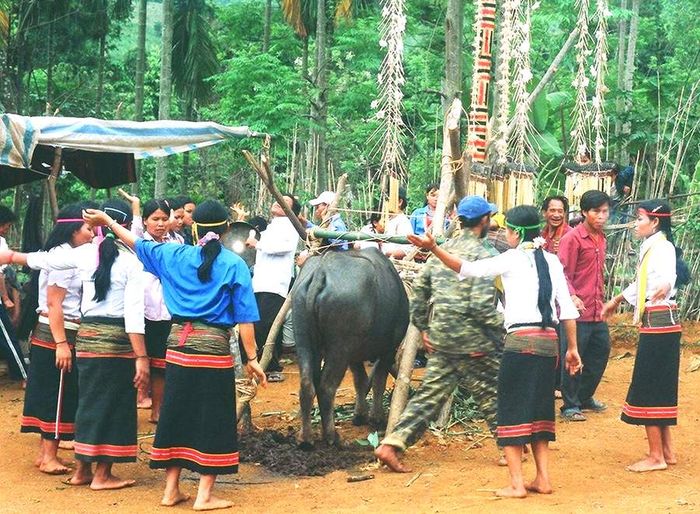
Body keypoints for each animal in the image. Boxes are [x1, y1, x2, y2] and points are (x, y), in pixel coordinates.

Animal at [292, 247, 410, 444]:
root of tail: (321, 271)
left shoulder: (355, 356)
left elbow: (360, 380)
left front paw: (360, 415)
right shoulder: (388, 349)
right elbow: (378, 381)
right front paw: (376, 418)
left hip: (304, 340)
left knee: (307, 385)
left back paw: (306, 439)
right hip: (340, 348)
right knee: (326, 387)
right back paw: (332, 436)